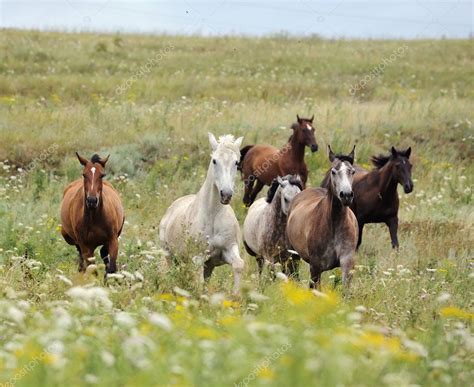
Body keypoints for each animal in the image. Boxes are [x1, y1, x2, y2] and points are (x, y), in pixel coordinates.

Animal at [161, 134, 246, 298]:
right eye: (214, 160)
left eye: (236, 162)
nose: (226, 194)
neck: (213, 215)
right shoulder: (198, 257)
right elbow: (198, 282)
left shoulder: (227, 249)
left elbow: (238, 265)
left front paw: (235, 296)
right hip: (168, 255)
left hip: (208, 265)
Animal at [286, 146, 360, 288]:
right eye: (333, 171)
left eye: (352, 171)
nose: (346, 195)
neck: (335, 222)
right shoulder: (315, 267)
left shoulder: (347, 262)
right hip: (293, 254)